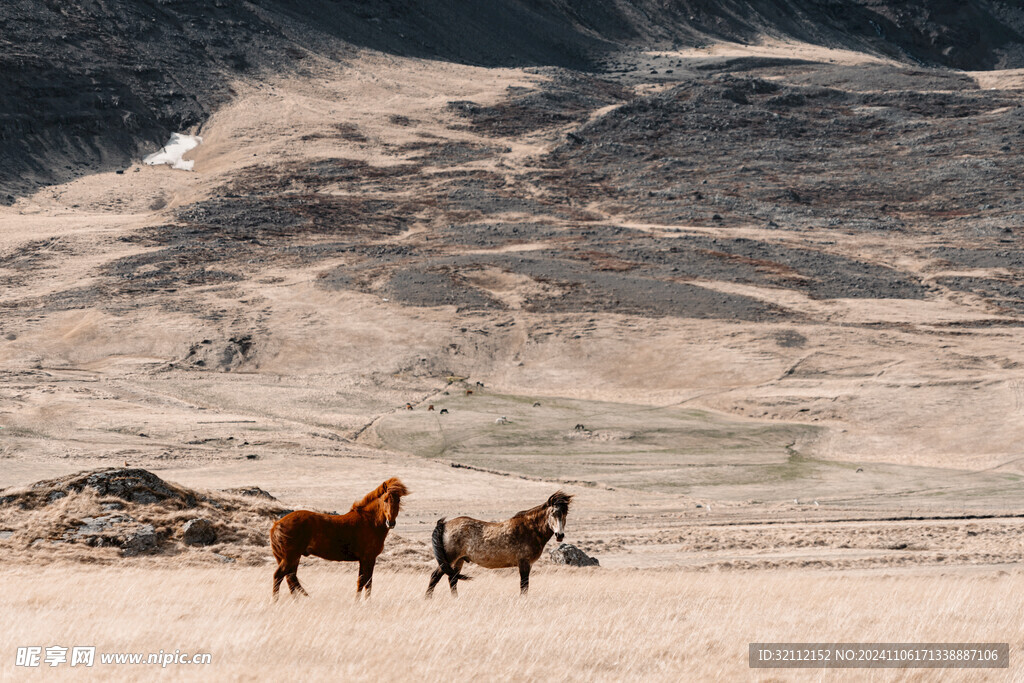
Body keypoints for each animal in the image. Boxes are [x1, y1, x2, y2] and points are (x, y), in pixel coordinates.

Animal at [270, 479, 409, 602]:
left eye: (398, 500)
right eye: (385, 500)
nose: (390, 523)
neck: (370, 522)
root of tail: (276, 524)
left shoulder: (364, 560)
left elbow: (362, 581)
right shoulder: (368, 558)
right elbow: (366, 581)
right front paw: (363, 603)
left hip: (293, 558)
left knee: (290, 577)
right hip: (290, 557)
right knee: (279, 576)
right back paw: (275, 602)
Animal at [423, 491, 569, 598]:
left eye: (565, 514)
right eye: (553, 513)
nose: (559, 535)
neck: (530, 529)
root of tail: (444, 524)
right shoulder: (524, 563)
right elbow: (524, 585)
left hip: (459, 560)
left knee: (452, 579)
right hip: (449, 559)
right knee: (435, 576)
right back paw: (428, 598)